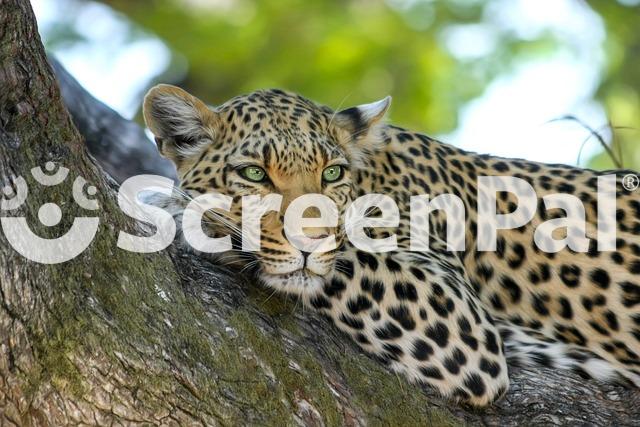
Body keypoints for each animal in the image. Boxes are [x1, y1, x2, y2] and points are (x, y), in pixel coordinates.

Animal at [142, 84, 640, 407]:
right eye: (254, 174)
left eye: (331, 174)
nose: (310, 241)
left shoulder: (457, 314)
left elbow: (345, 258)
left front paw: (180, 210)